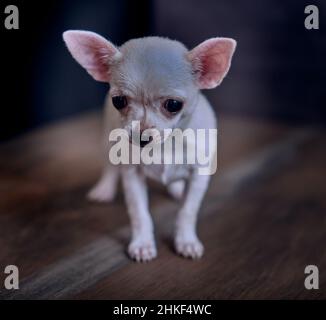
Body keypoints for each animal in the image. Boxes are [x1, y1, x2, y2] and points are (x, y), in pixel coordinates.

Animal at [62, 30, 236, 262]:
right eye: (118, 101)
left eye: (173, 105)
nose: (141, 138)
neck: (166, 145)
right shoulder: (132, 175)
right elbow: (139, 213)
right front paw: (142, 244)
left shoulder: (199, 175)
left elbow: (187, 211)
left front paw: (186, 241)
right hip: (108, 141)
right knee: (109, 167)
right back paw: (104, 189)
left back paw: (176, 189)